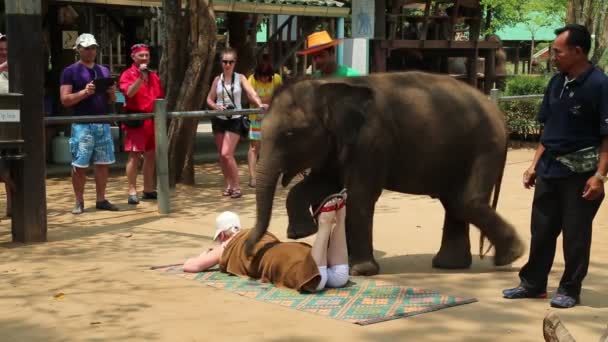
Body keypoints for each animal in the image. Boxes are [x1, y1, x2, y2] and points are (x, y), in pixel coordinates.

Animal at [245, 71, 524, 276]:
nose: (250, 254)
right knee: (455, 203)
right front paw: (301, 233)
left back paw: (510, 256)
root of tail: (501, 115)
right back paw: (453, 265)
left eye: (290, 134)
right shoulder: (338, 143)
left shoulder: (372, 141)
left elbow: (359, 195)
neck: (330, 85)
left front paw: (360, 271)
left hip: (485, 147)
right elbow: (321, 183)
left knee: (465, 202)